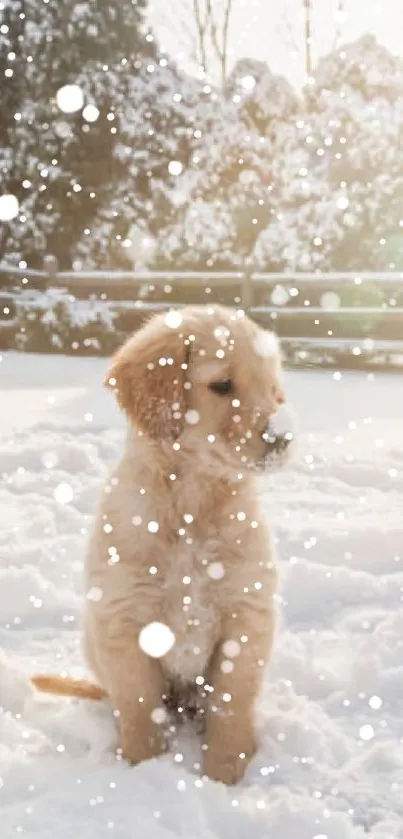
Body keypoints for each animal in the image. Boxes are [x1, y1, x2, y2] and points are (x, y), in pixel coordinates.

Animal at [30, 306, 290, 784]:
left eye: (273, 391)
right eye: (221, 385)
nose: (282, 439)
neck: (191, 502)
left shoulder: (246, 612)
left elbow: (232, 701)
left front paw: (225, 775)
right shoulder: (123, 619)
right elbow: (138, 705)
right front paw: (143, 768)